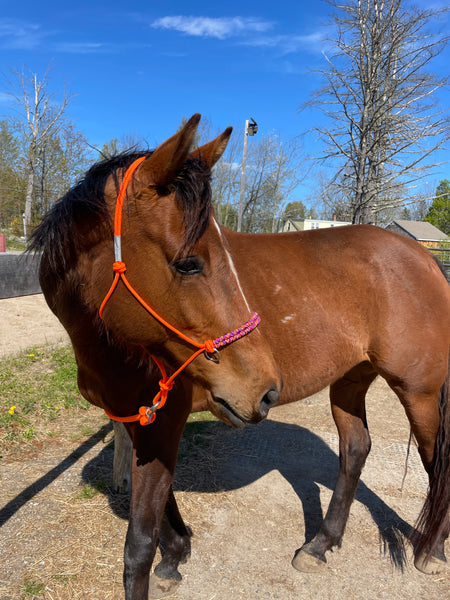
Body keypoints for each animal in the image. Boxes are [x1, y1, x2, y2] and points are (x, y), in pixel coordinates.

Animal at [29, 115, 448, 596]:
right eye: (188, 264)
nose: (266, 391)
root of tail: (423, 257)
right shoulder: (139, 421)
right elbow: (162, 509)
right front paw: (177, 554)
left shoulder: (163, 421)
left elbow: (138, 545)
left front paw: (164, 559)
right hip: (350, 380)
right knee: (355, 449)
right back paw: (320, 545)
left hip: (418, 392)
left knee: (437, 463)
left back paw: (431, 552)